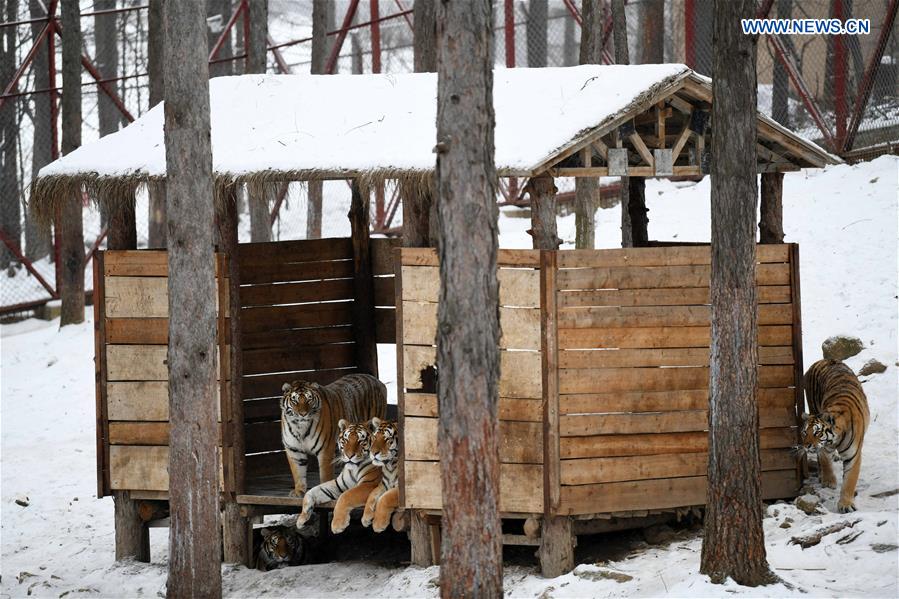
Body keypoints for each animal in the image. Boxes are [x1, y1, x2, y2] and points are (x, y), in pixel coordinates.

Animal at [801, 359, 870, 513]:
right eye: (804, 432)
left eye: (817, 432)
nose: (806, 446)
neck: (835, 439)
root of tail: (823, 360)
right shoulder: (824, 448)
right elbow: (825, 461)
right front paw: (828, 481)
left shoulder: (853, 455)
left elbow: (850, 480)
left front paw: (846, 504)